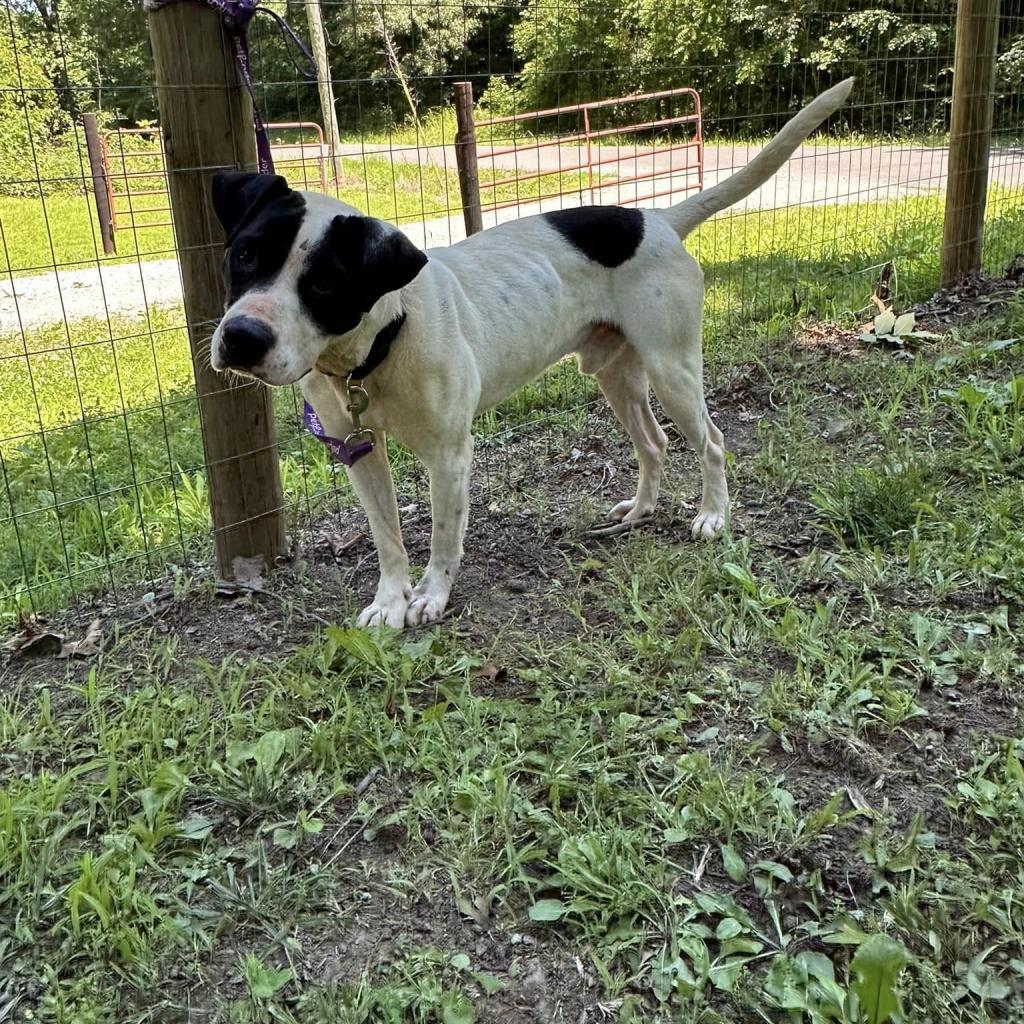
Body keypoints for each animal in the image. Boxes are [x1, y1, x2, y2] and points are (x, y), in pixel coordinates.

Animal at [209, 77, 856, 622]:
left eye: (323, 284)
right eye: (243, 254)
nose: (241, 339)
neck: (377, 346)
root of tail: (659, 219)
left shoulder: (449, 456)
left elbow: (442, 536)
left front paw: (430, 596)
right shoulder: (356, 450)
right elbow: (388, 539)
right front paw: (390, 602)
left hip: (672, 370)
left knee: (713, 443)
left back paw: (712, 516)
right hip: (617, 377)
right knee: (654, 444)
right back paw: (640, 511)